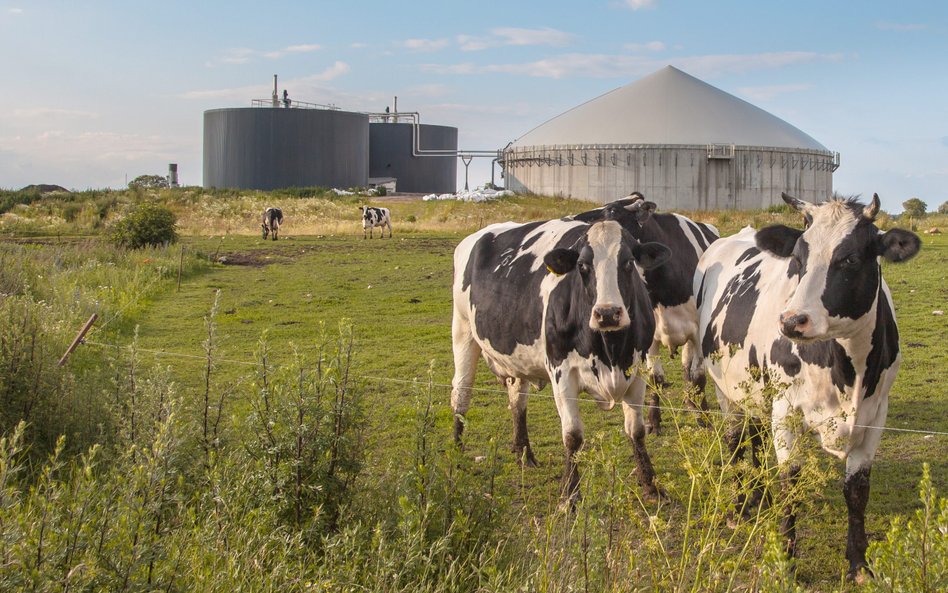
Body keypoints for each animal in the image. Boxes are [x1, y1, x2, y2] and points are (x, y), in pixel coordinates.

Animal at [448, 215, 672, 502]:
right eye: (582, 266)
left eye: (628, 263)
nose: (607, 314)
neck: (610, 351)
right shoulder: (561, 373)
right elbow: (573, 436)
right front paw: (569, 494)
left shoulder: (638, 370)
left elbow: (637, 431)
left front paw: (652, 486)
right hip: (462, 330)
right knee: (461, 394)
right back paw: (456, 452)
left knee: (517, 400)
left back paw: (523, 453)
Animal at [572, 193, 720, 430]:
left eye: (613, 212)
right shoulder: (650, 335)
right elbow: (655, 378)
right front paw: (653, 420)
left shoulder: (698, 331)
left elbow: (698, 375)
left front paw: (703, 418)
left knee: (689, 369)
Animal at [696, 193, 920, 580]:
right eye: (798, 259)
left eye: (850, 258)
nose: (791, 321)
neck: (847, 371)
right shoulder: (786, 411)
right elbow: (791, 484)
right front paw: (786, 562)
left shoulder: (876, 414)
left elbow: (857, 490)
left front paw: (859, 563)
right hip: (726, 390)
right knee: (736, 440)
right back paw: (740, 507)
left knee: (755, 436)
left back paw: (759, 497)